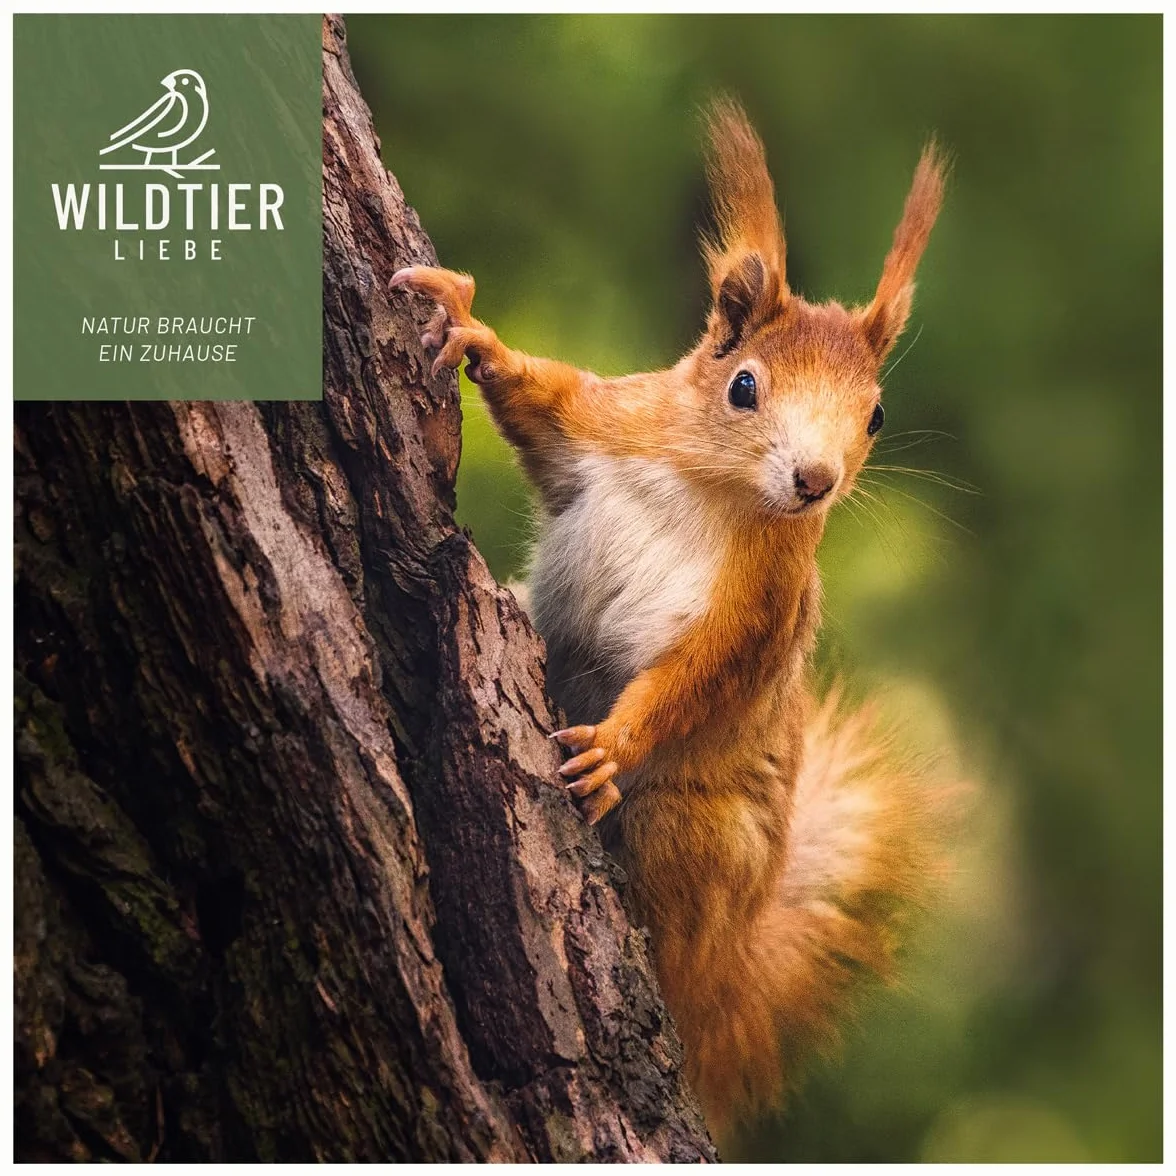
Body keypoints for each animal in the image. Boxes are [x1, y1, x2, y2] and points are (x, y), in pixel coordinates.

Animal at [392, 99, 949, 1136]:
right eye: (744, 385)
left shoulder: (759, 612)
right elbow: (542, 400)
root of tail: (725, 975)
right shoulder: (608, 423)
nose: (816, 481)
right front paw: (473, 330)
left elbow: (696, 679)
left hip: (697, 837)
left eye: (877, 416)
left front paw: (613, 746)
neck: (713, 489)